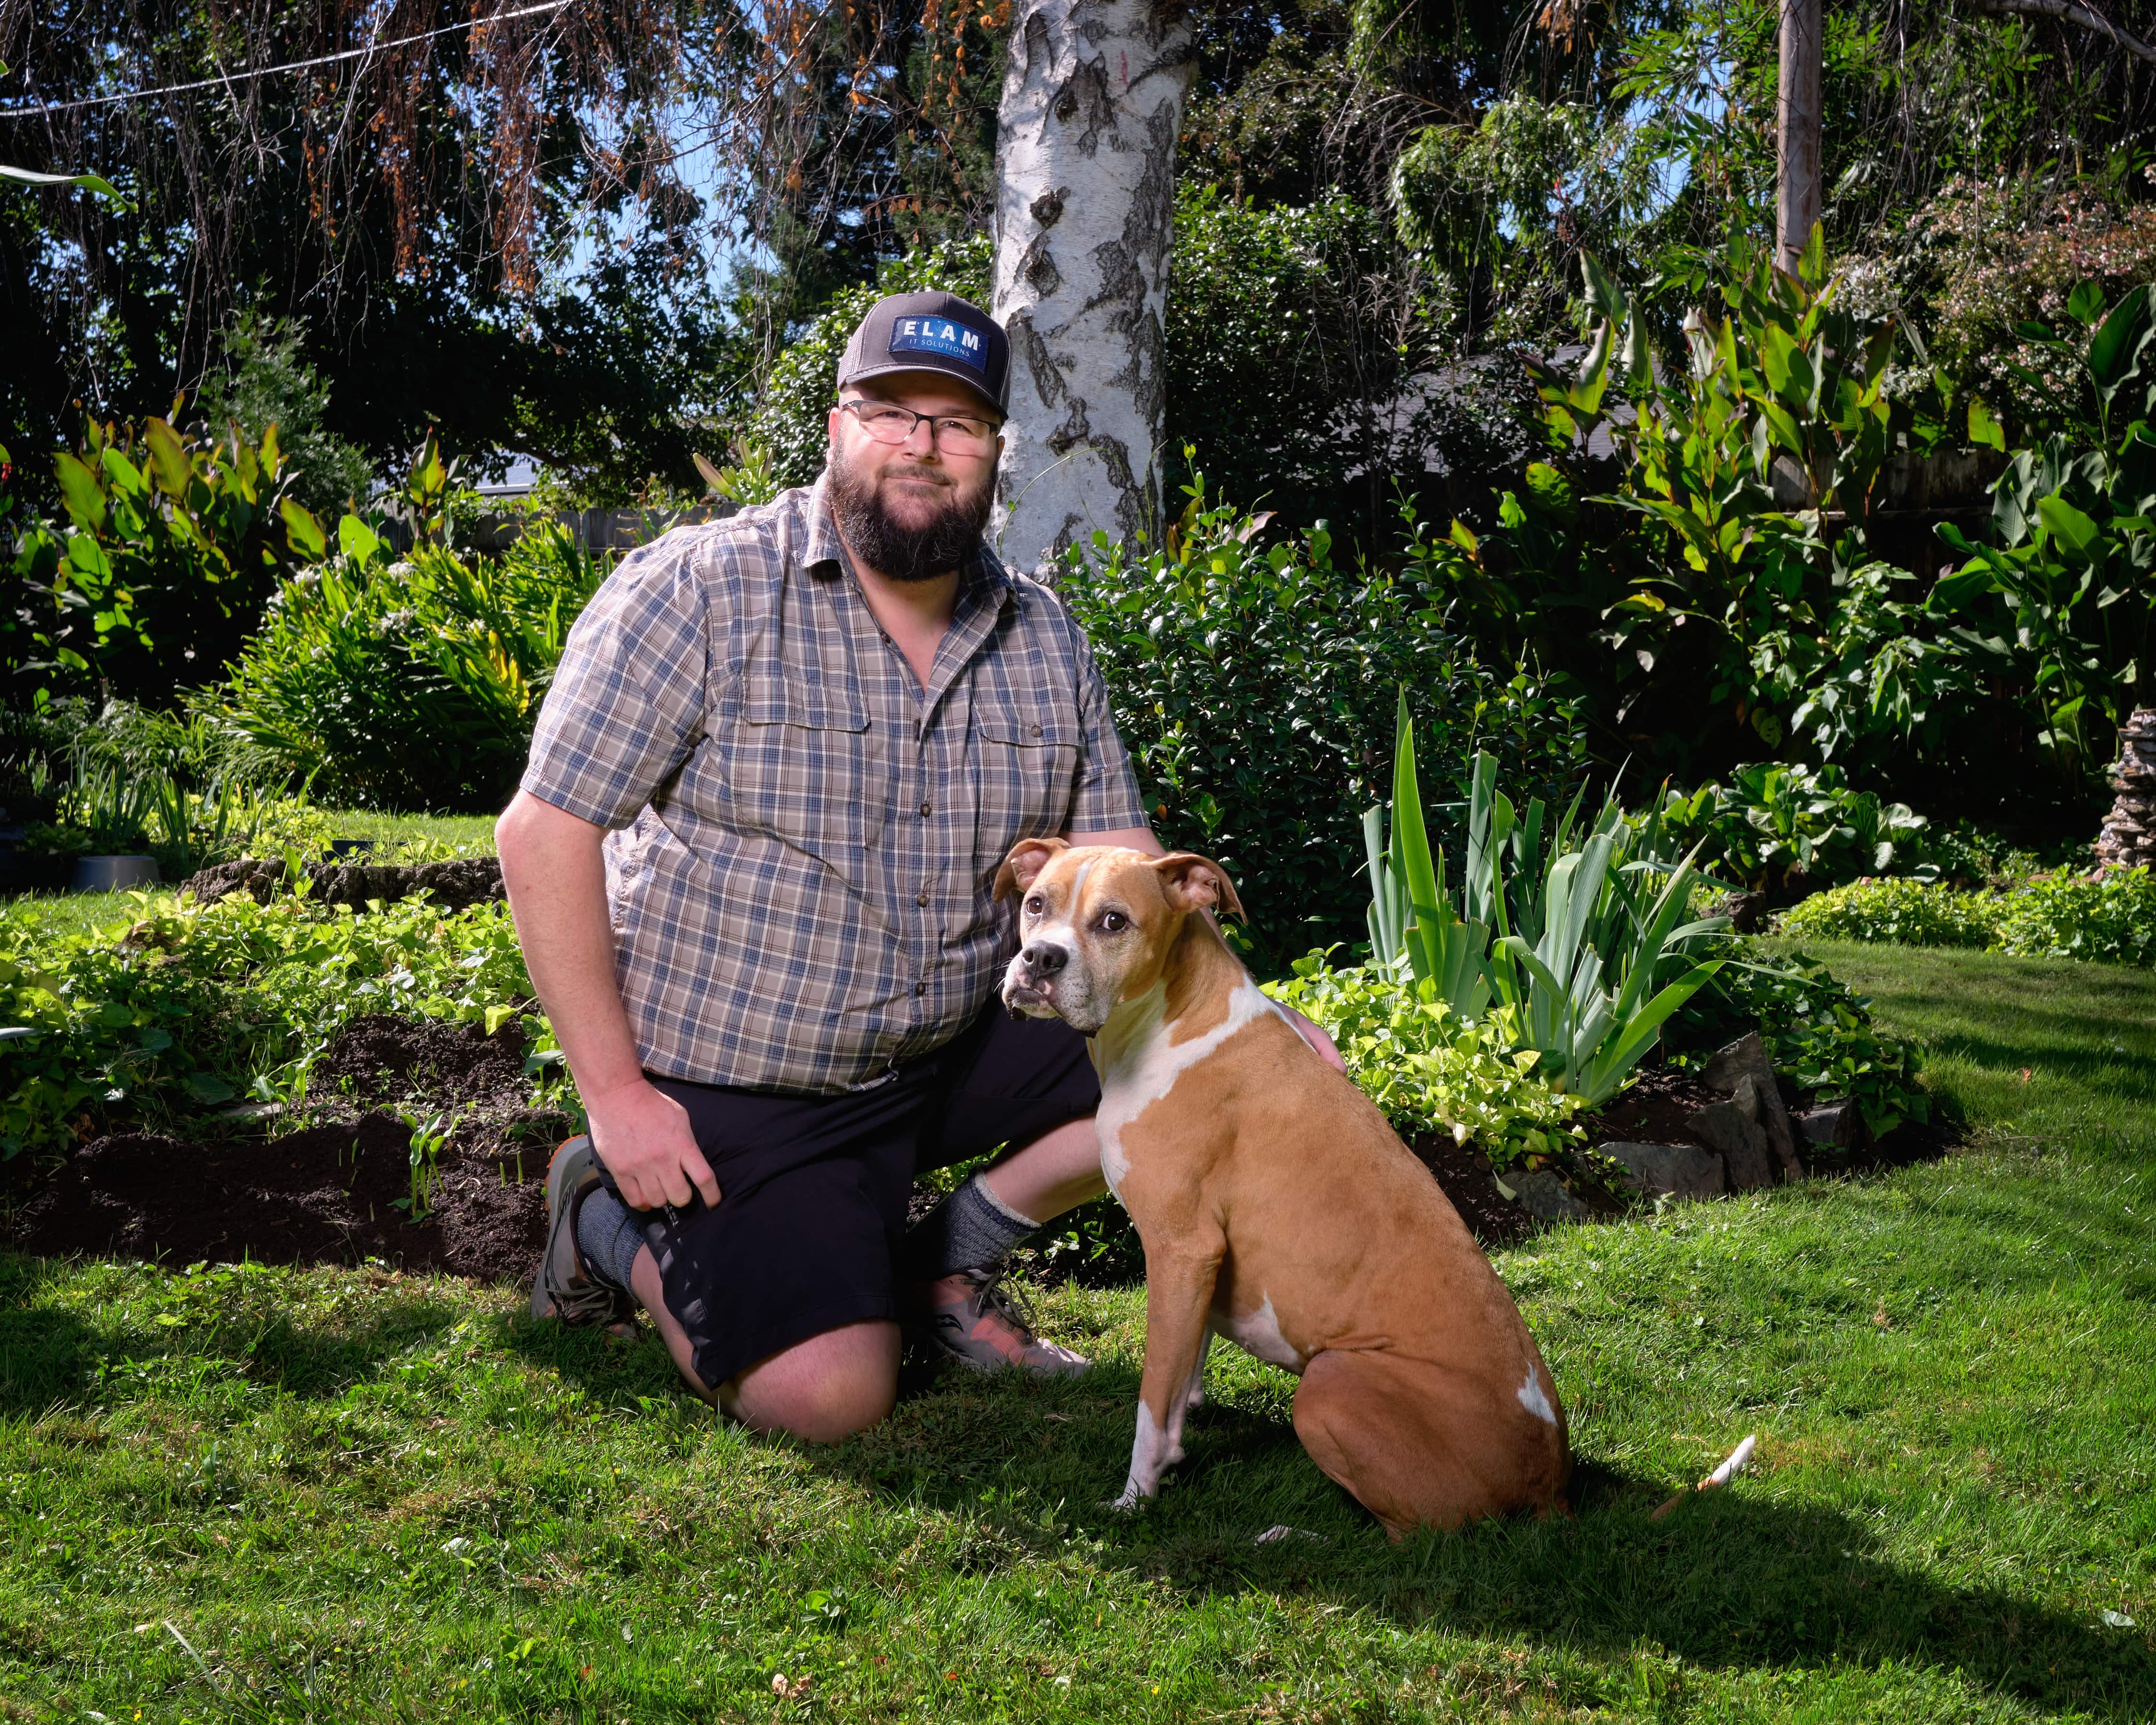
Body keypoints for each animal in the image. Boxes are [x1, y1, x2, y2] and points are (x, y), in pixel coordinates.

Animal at [991, 836, 1569, 1535]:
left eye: (1113, 921)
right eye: (1035, 904)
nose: (1039, 957)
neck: (1169, 1020)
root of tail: (1549, 1481)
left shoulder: (1181, 1248)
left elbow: (1153, 1397)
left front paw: (1134, 1497)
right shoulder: (1203, 1265)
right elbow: (1184, 1369)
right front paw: (1183, 1438)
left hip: (1330, 1382)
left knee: (1411, 1535)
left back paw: (1284, 1534)